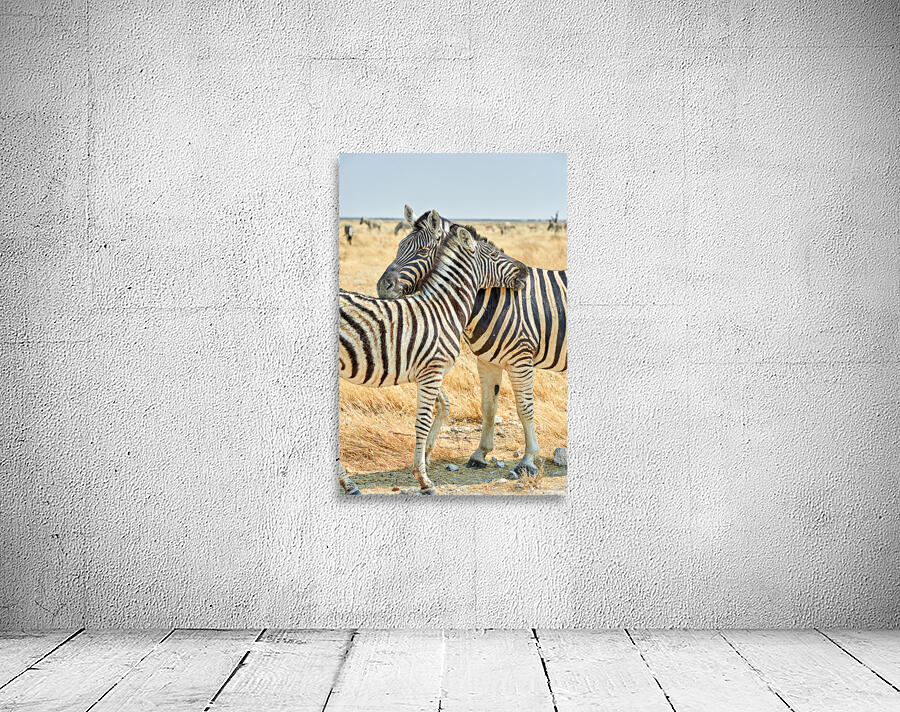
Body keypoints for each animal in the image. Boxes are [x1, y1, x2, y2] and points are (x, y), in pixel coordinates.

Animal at [340, 210, 527, 495]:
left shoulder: (427, 371)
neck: (444, 307)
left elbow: (443, 406)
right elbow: (423, 420)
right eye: (495, 254)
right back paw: (348, 483)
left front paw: (425, 460)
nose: (526, 270)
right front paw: (423, 478)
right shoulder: (431, 371)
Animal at [377, 206, 567, 479]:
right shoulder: (487, 361)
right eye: (399, 246)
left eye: (422, 251)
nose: (382, 287)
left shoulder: (521, 359)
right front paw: (480, 454)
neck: (493, 298)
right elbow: (488, 407)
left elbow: (524, 407)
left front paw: (528, 460)